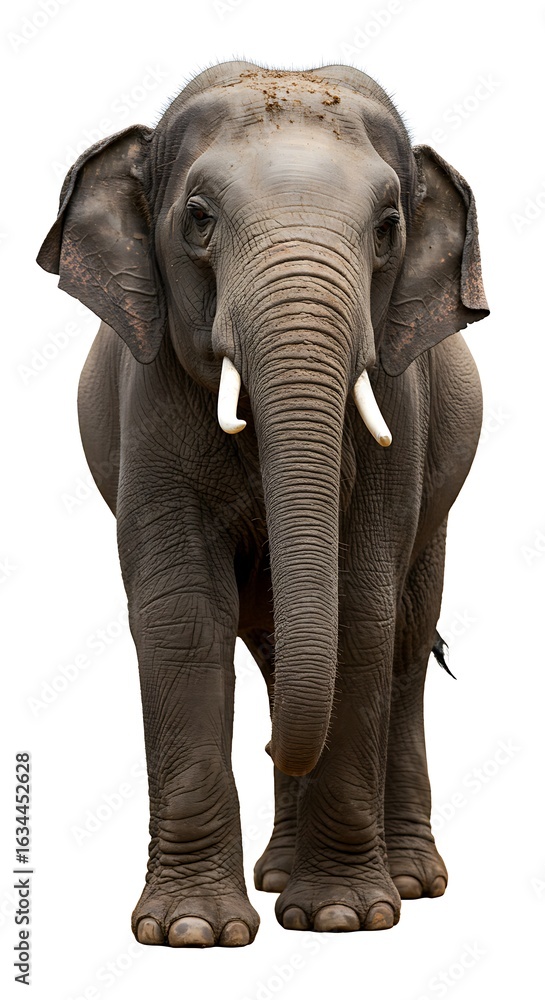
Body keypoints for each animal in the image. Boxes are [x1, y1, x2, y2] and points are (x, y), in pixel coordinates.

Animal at [38, 60, 488, 947]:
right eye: (198, 218)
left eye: (388, 227)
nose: (277, 747)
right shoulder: (149, 401)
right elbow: (181, 611)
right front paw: (191, 933)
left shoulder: (401, 410)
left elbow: (360, 606)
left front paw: (343, 917)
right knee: (280, 649)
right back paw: (278, 871)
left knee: (405, 642)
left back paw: (408, 882)